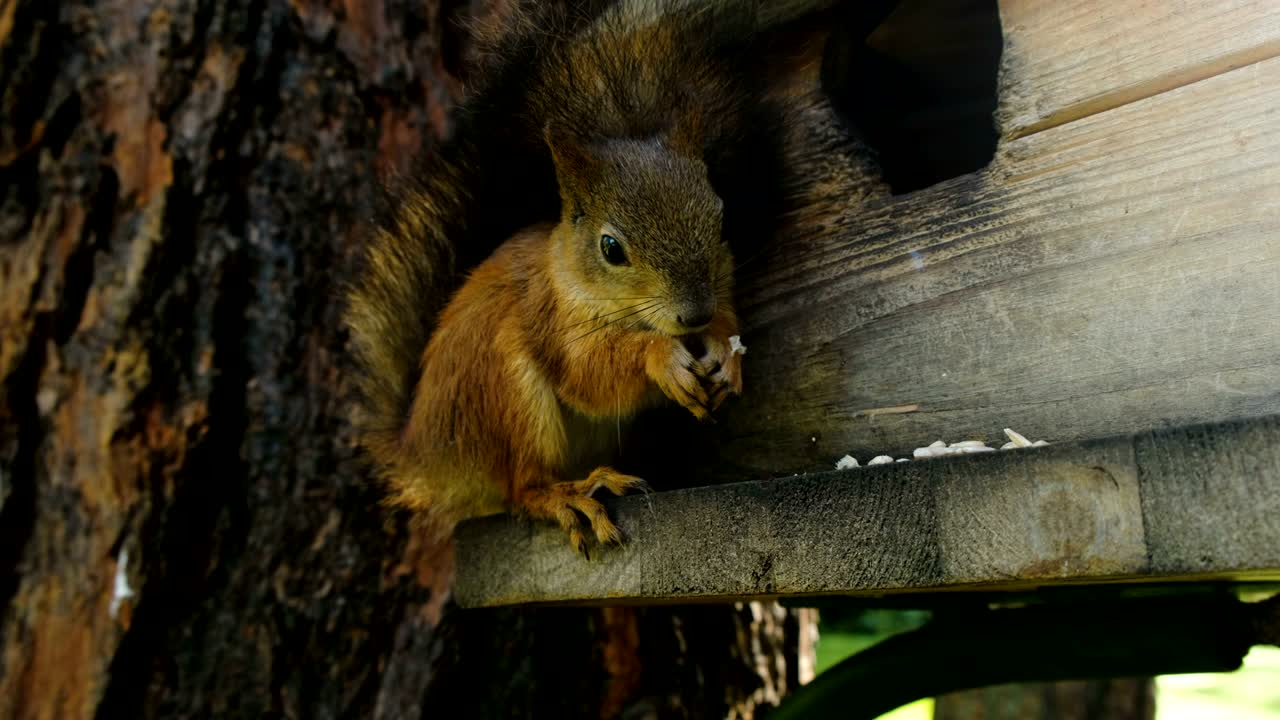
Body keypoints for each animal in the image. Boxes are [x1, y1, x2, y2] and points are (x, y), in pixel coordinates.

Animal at [344, 0, 837, 552]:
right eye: (611, 248)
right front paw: (660, 356)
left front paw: (723, 349)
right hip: (505, 393)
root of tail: (430, 459)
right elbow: (588, 374)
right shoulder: (553, 319)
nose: (694, 314)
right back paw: (571, 495)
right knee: (522, 487)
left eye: (720, 215)